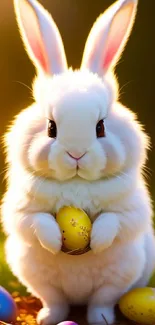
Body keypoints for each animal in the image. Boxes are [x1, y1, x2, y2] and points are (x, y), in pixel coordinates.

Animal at [1, 0, 155, 322]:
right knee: (55, 299)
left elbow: (117, 220)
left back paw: (101, 319)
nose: (76, 153)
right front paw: (53, 241)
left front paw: (97, 241)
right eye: (51, 128)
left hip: (121, 275)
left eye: (100, 127)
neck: (76, 182)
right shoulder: (20, 208)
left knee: (103, 300)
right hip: (35, 276)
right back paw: (48, 317)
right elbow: (33, 221)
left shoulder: (132, 209)